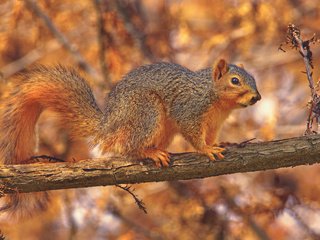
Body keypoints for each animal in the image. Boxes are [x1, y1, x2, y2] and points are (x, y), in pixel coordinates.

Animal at [0, 59, 260, 217]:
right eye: (234, 81)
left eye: (253, 78)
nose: (257, 97)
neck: (216, 99)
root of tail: (110, 124)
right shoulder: (189, 110)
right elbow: (193, 134)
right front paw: (205, 149)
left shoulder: (214, 122)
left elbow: (212, 135)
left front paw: (218, 144)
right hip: (147, 111)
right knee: (129, 147)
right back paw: (149, 152)